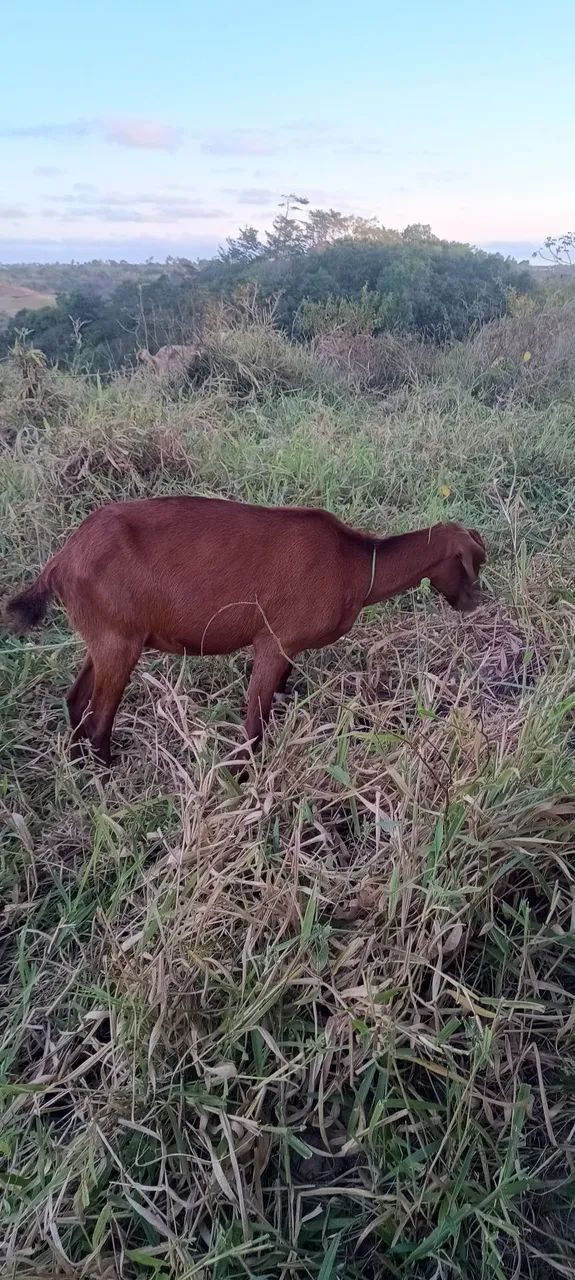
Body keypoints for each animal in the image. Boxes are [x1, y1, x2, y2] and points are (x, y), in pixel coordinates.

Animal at [5, 497, 486, 767]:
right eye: (472, 564)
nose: (474, 601)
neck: (356, 564)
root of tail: (63, 559)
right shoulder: (273, 641)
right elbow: (254, 723)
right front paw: (246, 777)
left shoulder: (288, 650)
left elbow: (276, 698)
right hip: (119, 642)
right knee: (100, 717)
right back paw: (107, 771)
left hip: (103, 636)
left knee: (77, 701)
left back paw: (76, 765)